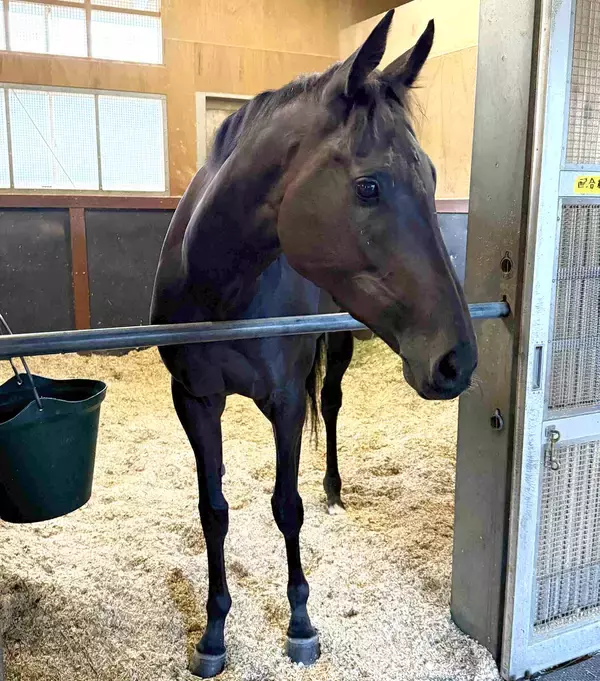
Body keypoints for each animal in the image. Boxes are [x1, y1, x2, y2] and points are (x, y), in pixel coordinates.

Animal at [151, 9, 477, 677]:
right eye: (369, 187)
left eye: (432, 177)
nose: (456, 361)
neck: (221, 286)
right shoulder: (194, 402)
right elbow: (213, 511)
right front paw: (214, 632)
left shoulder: (283, 403)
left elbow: (287, 505)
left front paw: (301, 622)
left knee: (329, 406)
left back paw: (333, 488)